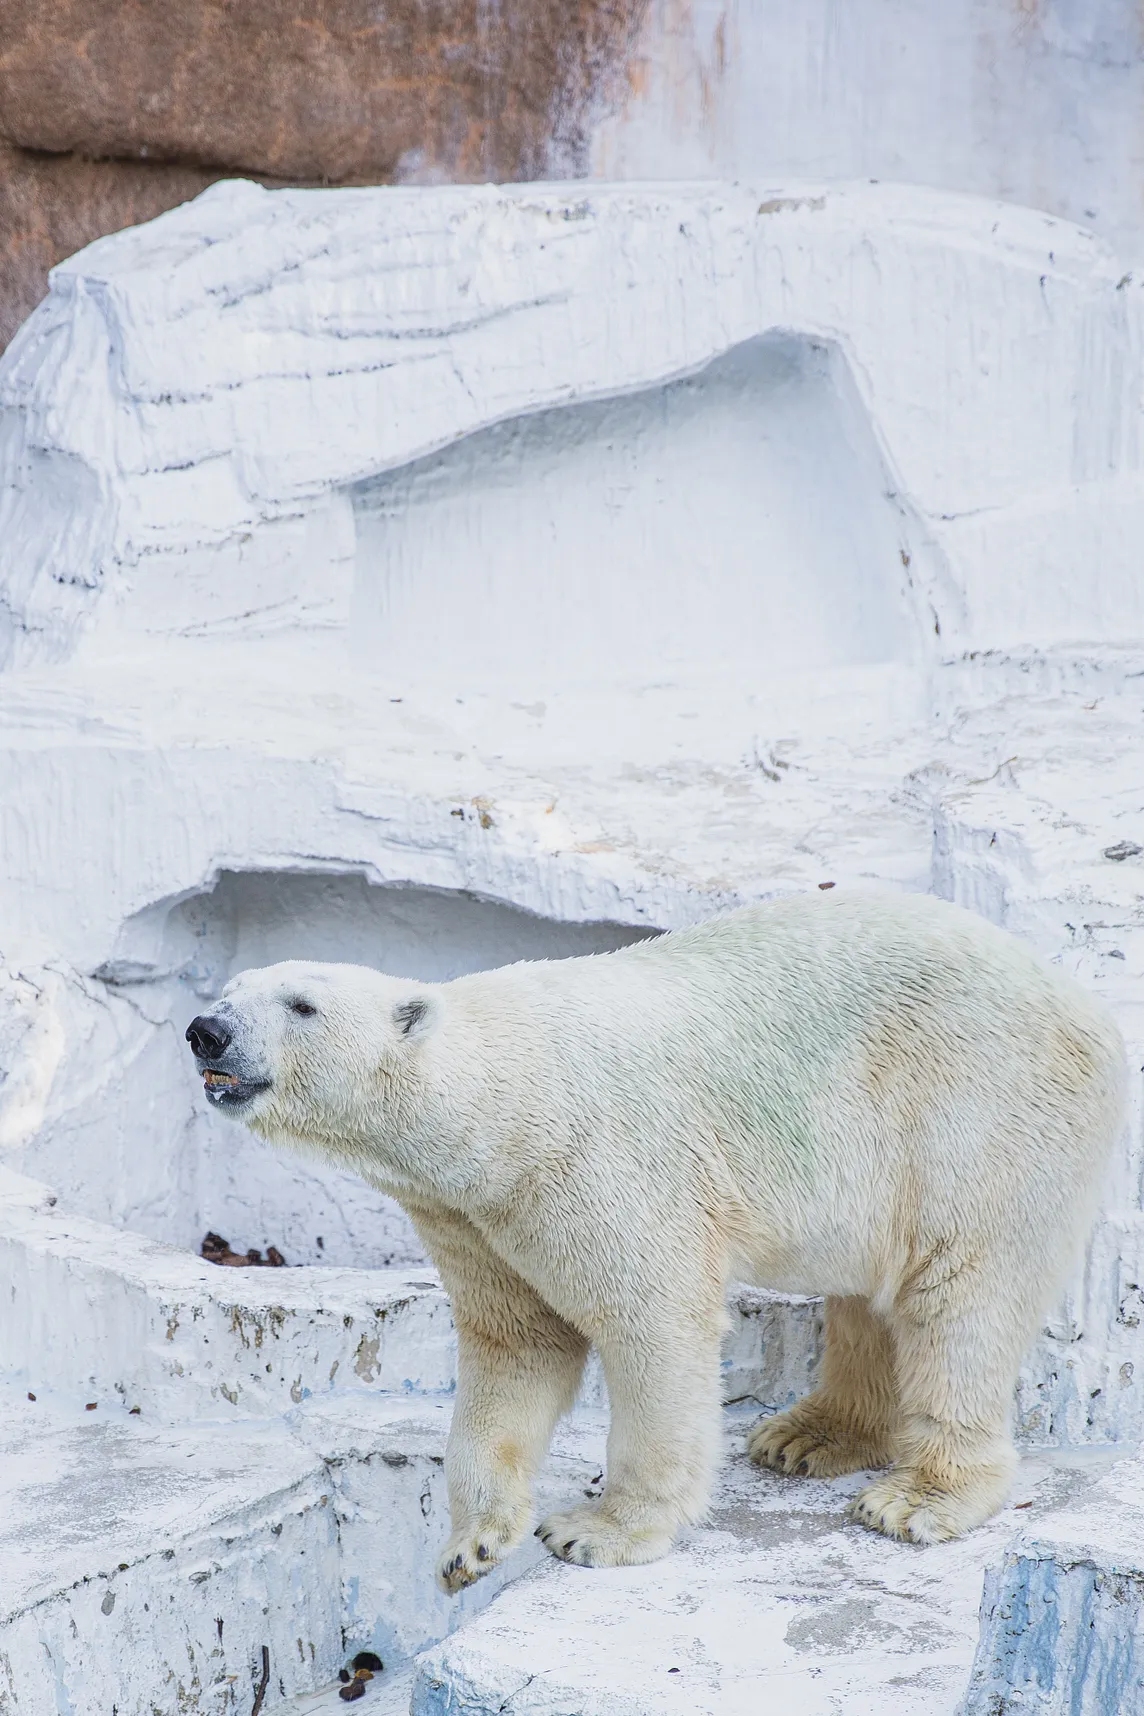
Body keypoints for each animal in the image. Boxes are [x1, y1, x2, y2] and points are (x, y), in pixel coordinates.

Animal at [190, 892, 1125, 1585]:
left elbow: (650, 1324)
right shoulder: (474, 1217)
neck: (504, 1102)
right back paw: (808, 1437)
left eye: (302, 1005)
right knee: (868, 1296)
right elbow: (516, 1345)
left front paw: (597, 1531)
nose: (206, 1029)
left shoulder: (594, 1161)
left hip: (976, 1110)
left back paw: (916, 1497)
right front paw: (474, 1544)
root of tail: (1085, 1004)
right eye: (231, 988)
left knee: (960, 1295)